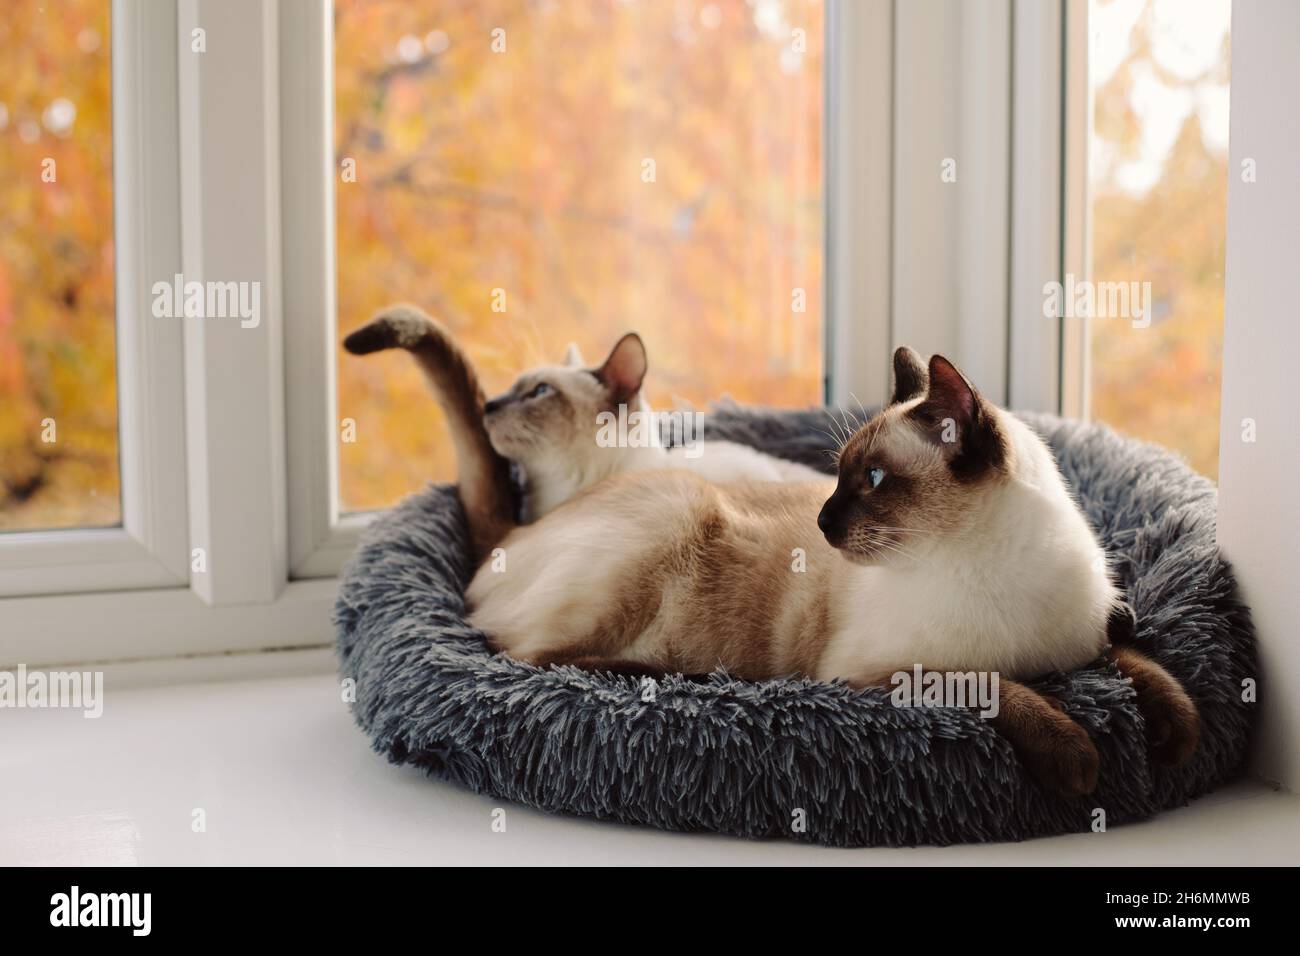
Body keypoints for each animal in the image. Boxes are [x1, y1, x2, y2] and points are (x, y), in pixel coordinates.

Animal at [345, 308, 1196, 801]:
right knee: (536, 661)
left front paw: (1177, 735)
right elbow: (994, 685)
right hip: (672, 523)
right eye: (841, 473)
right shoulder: (881, 674)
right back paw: (688, 678)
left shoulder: (1091, 638)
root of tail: (516, 534)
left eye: (871, 480)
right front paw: (1078, 760)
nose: (822, 521)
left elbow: (1142, 660)